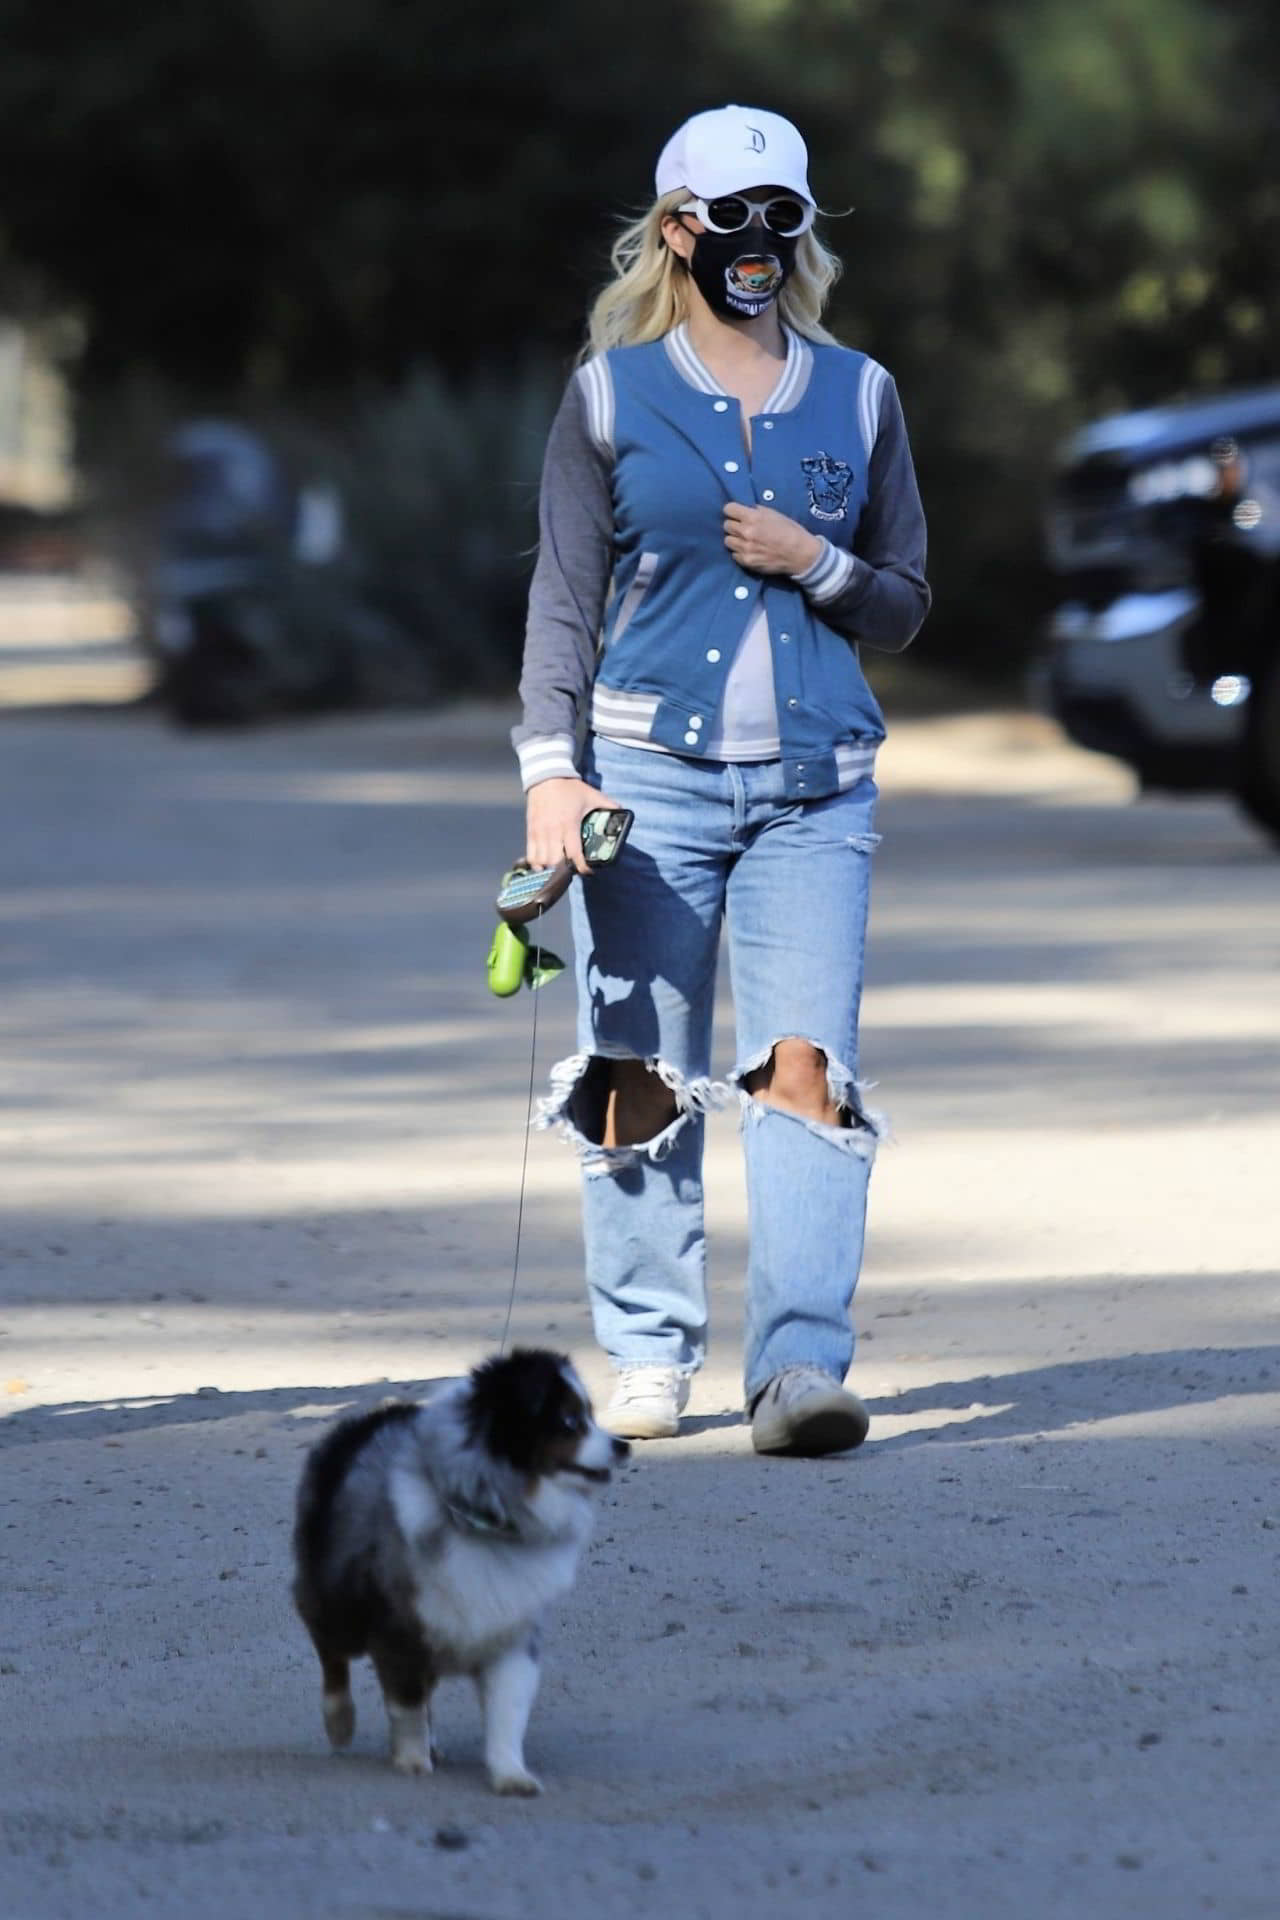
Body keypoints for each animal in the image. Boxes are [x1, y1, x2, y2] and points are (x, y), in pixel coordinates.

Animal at [291, 1359, 629, 1789]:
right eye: (569, 1421)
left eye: (590, 1415)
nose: (623, 1445)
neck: (487, 1523)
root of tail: (365, 1421)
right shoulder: (399, 1628)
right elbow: (406, 1703)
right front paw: (412, 1760)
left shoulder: (510, 1631)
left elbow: (507, 1711)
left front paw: (510, 1774)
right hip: (338, 1602)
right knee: (332, 1656)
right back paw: (340, 1723)